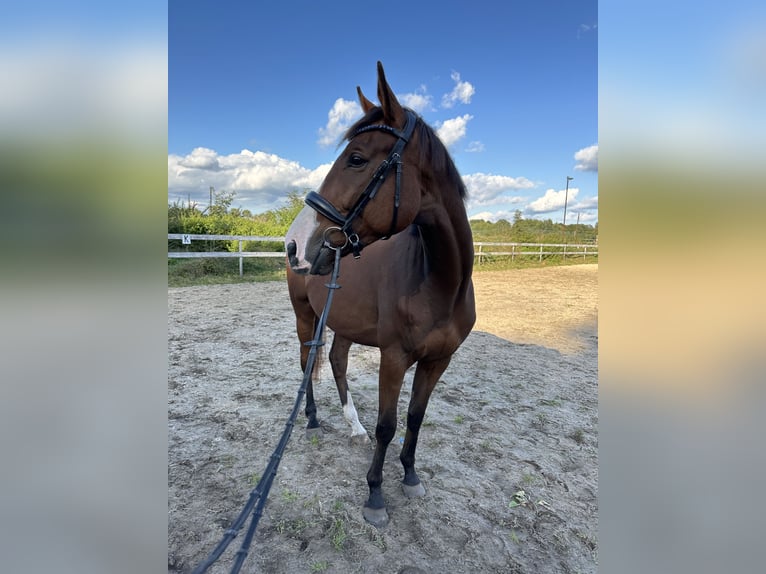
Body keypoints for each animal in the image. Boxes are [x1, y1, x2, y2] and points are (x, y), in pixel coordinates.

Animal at [284, 62, 476, 528]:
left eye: (356, 159)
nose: (294, 244)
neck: (440, 282)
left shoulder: (438, 360)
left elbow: (415, 417)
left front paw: (409, 475)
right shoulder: (393, 358)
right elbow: (388, 425)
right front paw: (375, 494)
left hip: (343, 322)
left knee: (336, 362)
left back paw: (353, 426)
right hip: (305, 317)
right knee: (306, 362)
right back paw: (312, 419)